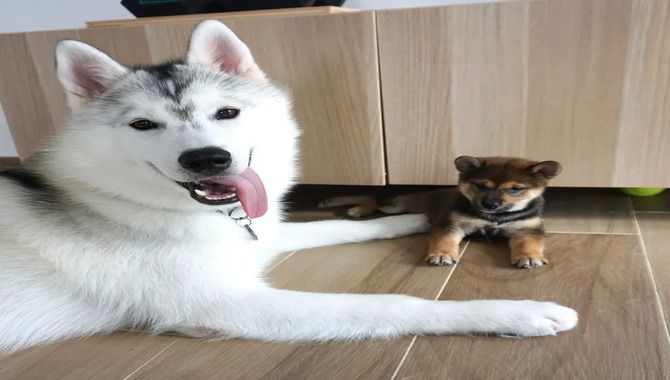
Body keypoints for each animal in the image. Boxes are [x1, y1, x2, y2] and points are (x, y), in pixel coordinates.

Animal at [320, 156, 560, 268]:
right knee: (371, 197)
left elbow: (527, 243)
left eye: (515, 189)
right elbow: (444, 240)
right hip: (395, 204)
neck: (494, 217)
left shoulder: (527, 230)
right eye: (480, 185)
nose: (490, 205)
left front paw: (529, 257)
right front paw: (443, 254)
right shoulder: (451, 224)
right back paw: (350, 206)